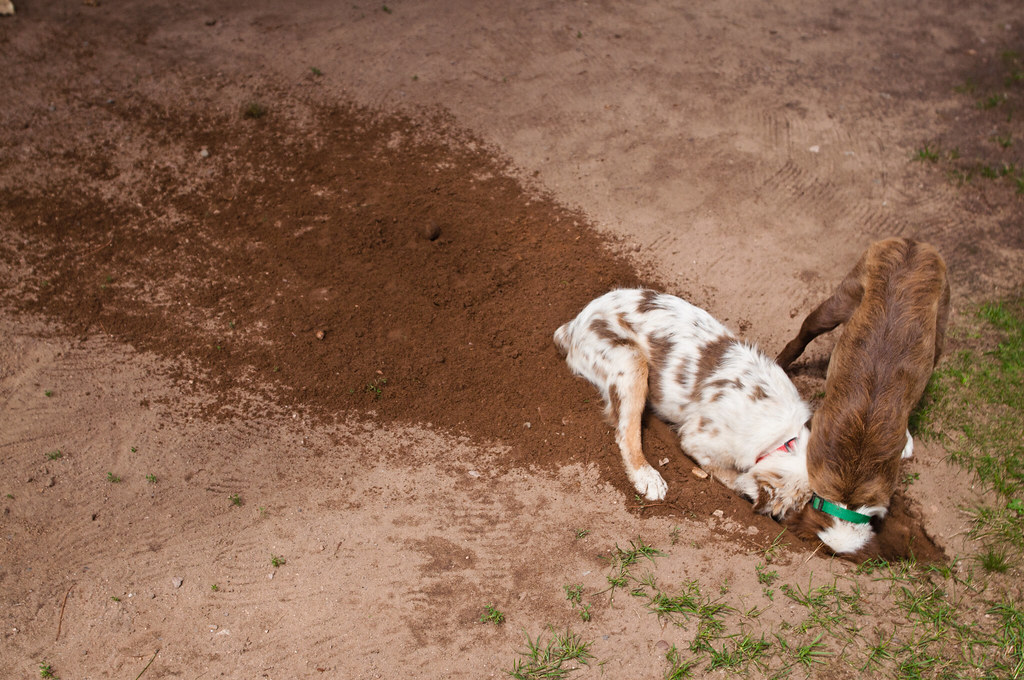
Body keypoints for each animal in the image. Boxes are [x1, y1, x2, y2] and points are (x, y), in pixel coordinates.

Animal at [557, 288, 811, 520]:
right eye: (795, 506)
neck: (782, 438)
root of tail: (574, 324)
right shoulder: (697, 441)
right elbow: (732, 476)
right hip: (630, 362)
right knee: (625, 435)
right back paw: (649, 479)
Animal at [774, 236, 950, 557]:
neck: (851, 486)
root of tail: (913, 244)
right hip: (840, 302)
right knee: (803, 336)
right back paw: (781, 362)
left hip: (937, 331)